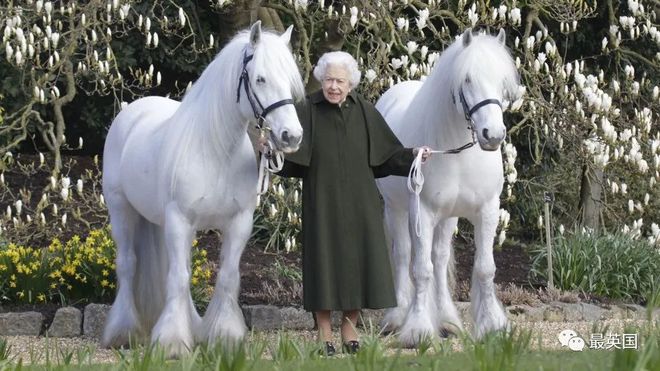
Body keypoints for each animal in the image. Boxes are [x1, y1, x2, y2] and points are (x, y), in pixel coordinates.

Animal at [100, 21, 304, 358]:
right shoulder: (180, 220)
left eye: (289, 81)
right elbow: (178, 279)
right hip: (122, 211)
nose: (292, 136)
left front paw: (224, 337)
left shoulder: (238, 223)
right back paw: (123, 332)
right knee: (128, 265)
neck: (216, 150)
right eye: (260, 78)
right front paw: (171, 343)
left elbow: (226, 277)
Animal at [376, 28, 520, 346]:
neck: (458, 153)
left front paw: (492, 326)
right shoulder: (422, 212)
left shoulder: (487, 210)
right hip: (396, 210)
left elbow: (484, 268)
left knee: (440, 259)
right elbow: (421, 270)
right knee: (403, 256)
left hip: (448, 217)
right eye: (467, 79)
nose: (493, 135)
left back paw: (447, 321)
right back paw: (397, 317)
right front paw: (417, 330)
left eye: (502, 81)